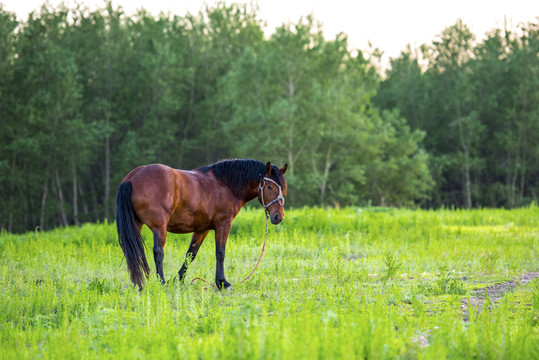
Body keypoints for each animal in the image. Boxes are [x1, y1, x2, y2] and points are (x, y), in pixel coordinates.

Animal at [116, 159, 288, 288]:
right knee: (158, 252)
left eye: (283, 189)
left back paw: (138, 284)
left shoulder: (202, 229)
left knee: (132, 251)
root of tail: (132, 178)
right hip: (159, 228)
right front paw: (222, 283)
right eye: (270, 187)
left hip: (136, 224)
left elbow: (190, 255)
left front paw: (178, 280)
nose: (278, 217)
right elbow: (220, 252)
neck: (226, 184)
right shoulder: (223, 225)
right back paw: (162, 283)